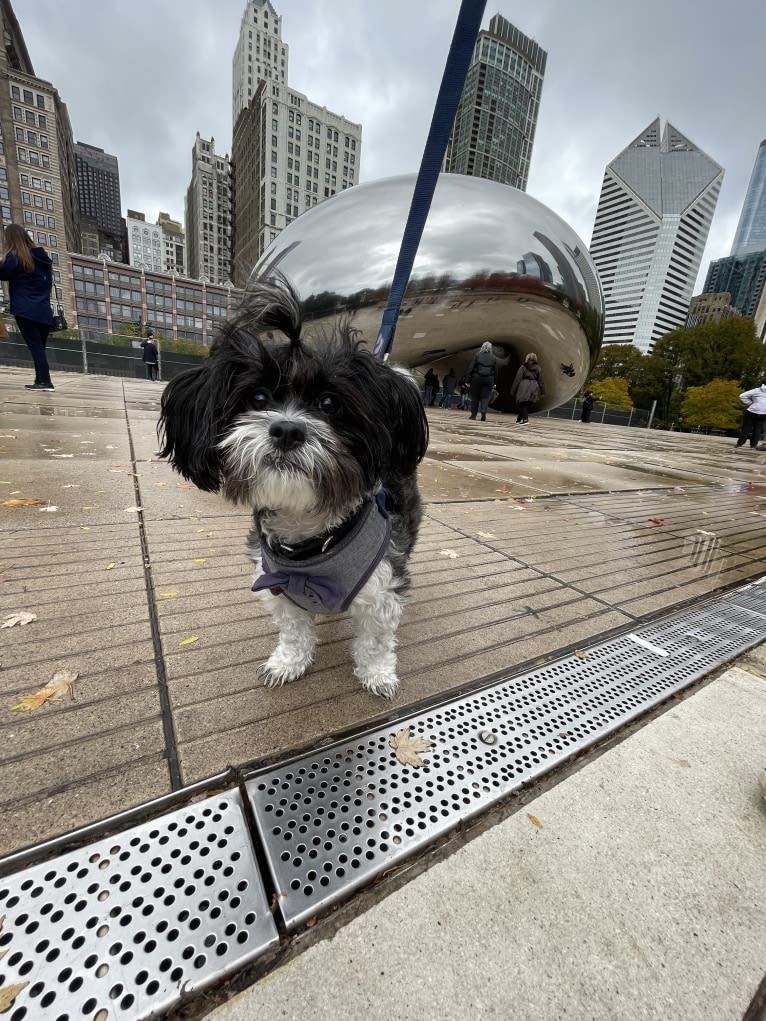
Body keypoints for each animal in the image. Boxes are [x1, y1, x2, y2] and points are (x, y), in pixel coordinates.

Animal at [159, 275, 428, 698]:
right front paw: (288, 662)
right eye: (258, 397)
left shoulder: (383, 587)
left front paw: (377, 674)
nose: (287, 429)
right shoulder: (276, 585)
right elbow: (294, 631)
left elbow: (375, 640)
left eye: (329, 403)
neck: (311, 542)